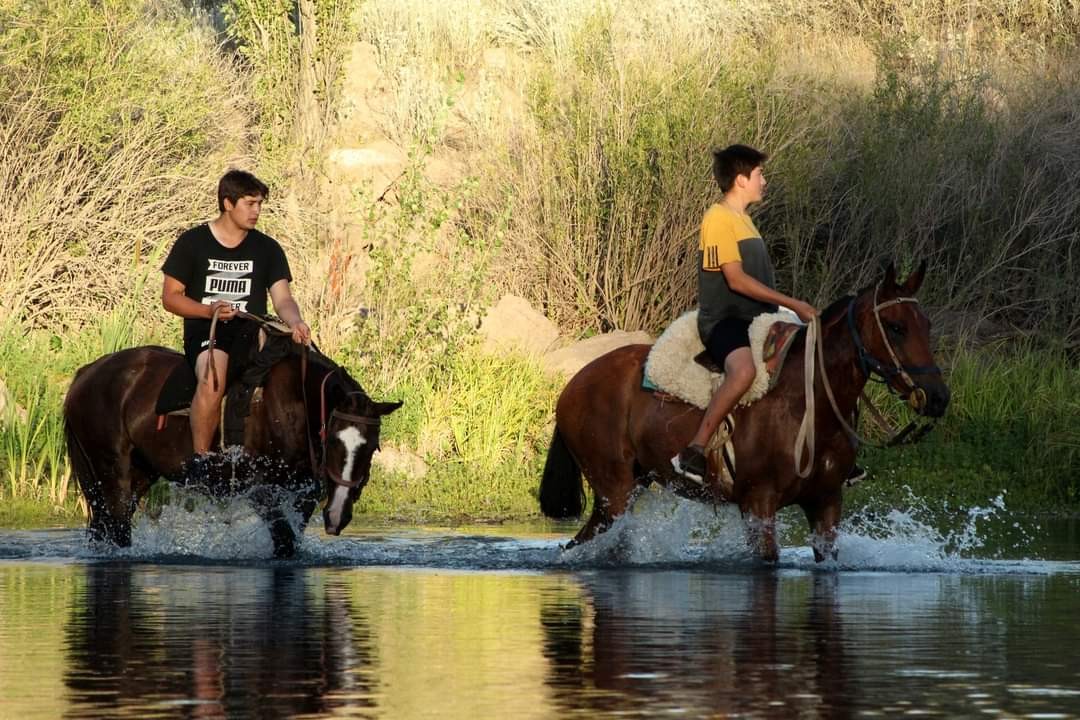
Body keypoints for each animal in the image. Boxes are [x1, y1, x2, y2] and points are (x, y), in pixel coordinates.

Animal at [63, 334, 401, 561]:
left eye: (371, 447)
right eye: (333, 440)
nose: (337, 515)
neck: (290, 404)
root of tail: (87, 372)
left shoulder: (302, 492)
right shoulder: (260, 488)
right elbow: (284, 541)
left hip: (139, 474)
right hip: (111, 474)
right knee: (118, 526)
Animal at [540, 262, 946, 561]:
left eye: (926, 325)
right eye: (895, 327)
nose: (938, 397)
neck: (807, 403)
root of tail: (573, 385)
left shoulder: (827, 503)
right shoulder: (758, 504)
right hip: (615, 491)